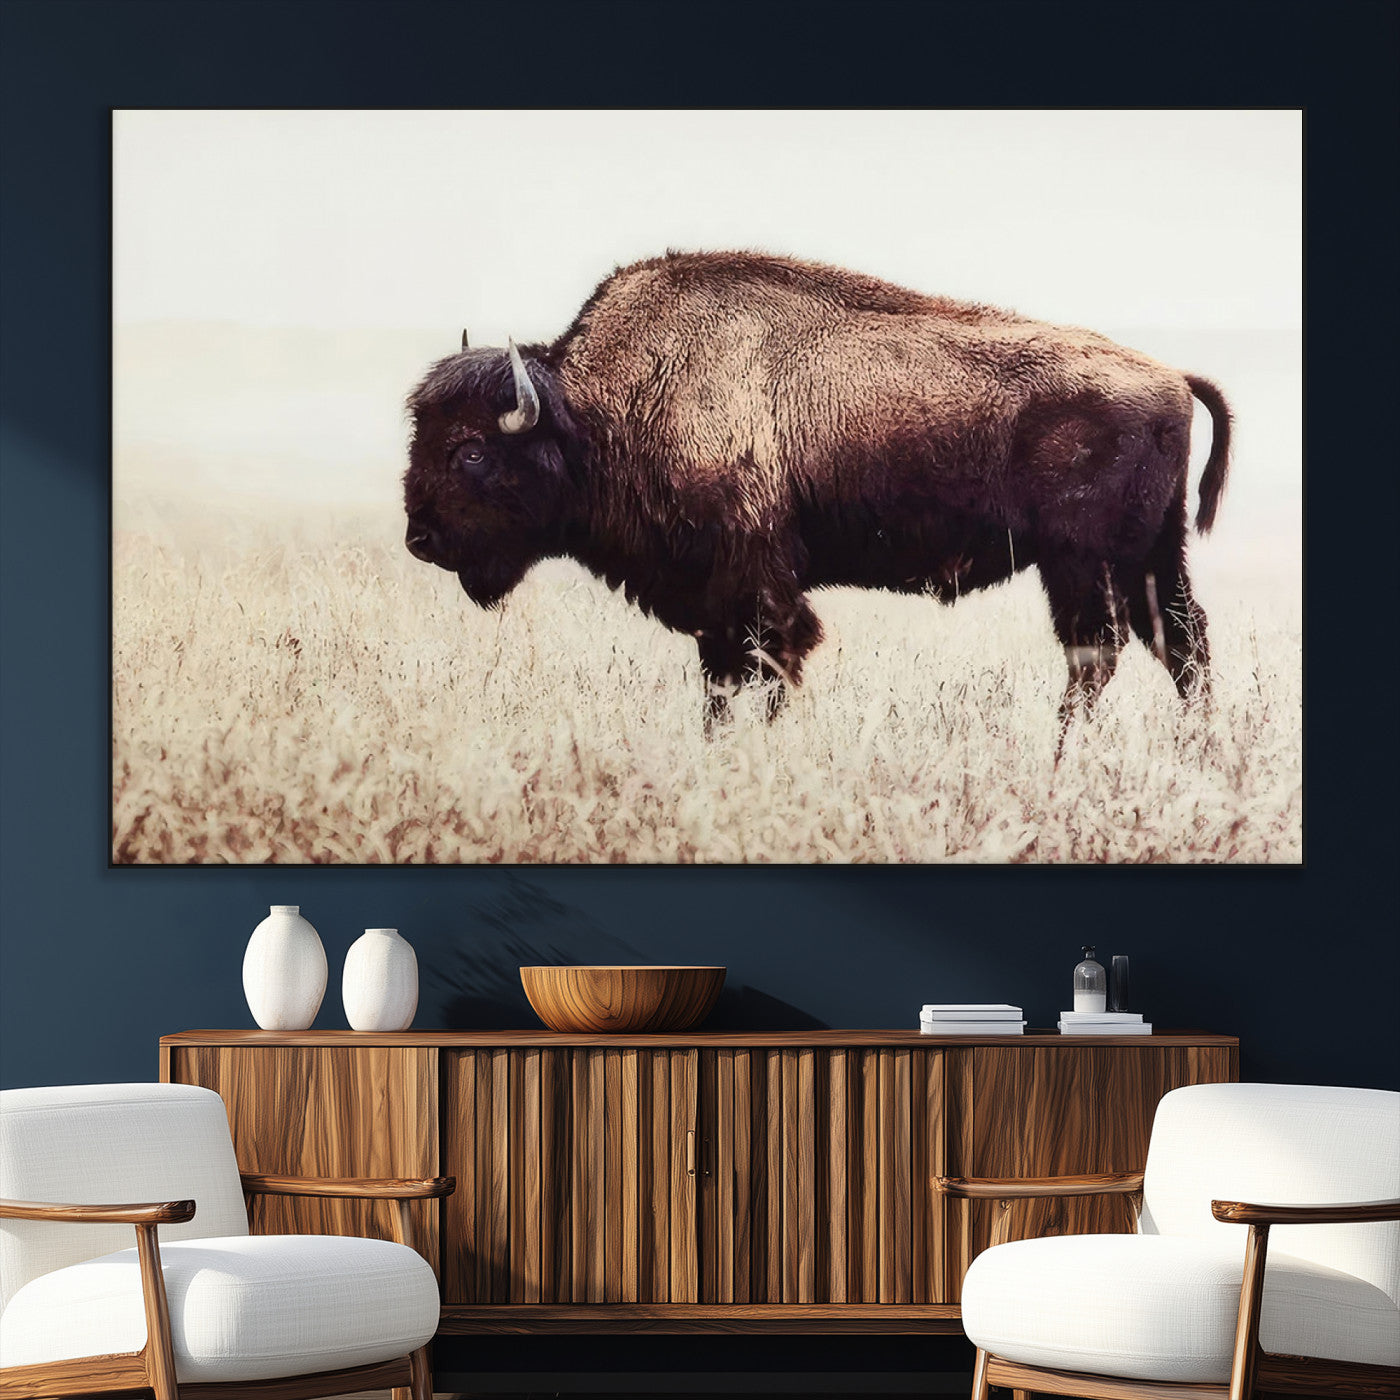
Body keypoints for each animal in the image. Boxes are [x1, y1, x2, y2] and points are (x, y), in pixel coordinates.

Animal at [404, 251, 1229, 733]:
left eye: (471, 449)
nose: (420, 539)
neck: (601, 409)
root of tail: (1170, 376)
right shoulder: (716, 604)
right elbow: (722, 681)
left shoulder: (757, 587)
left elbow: (770, 665)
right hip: (1151, 557)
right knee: (1180, 642)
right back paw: (1196, 750)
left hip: (1081, 563)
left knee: (1099, 652)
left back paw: (1063, 752)